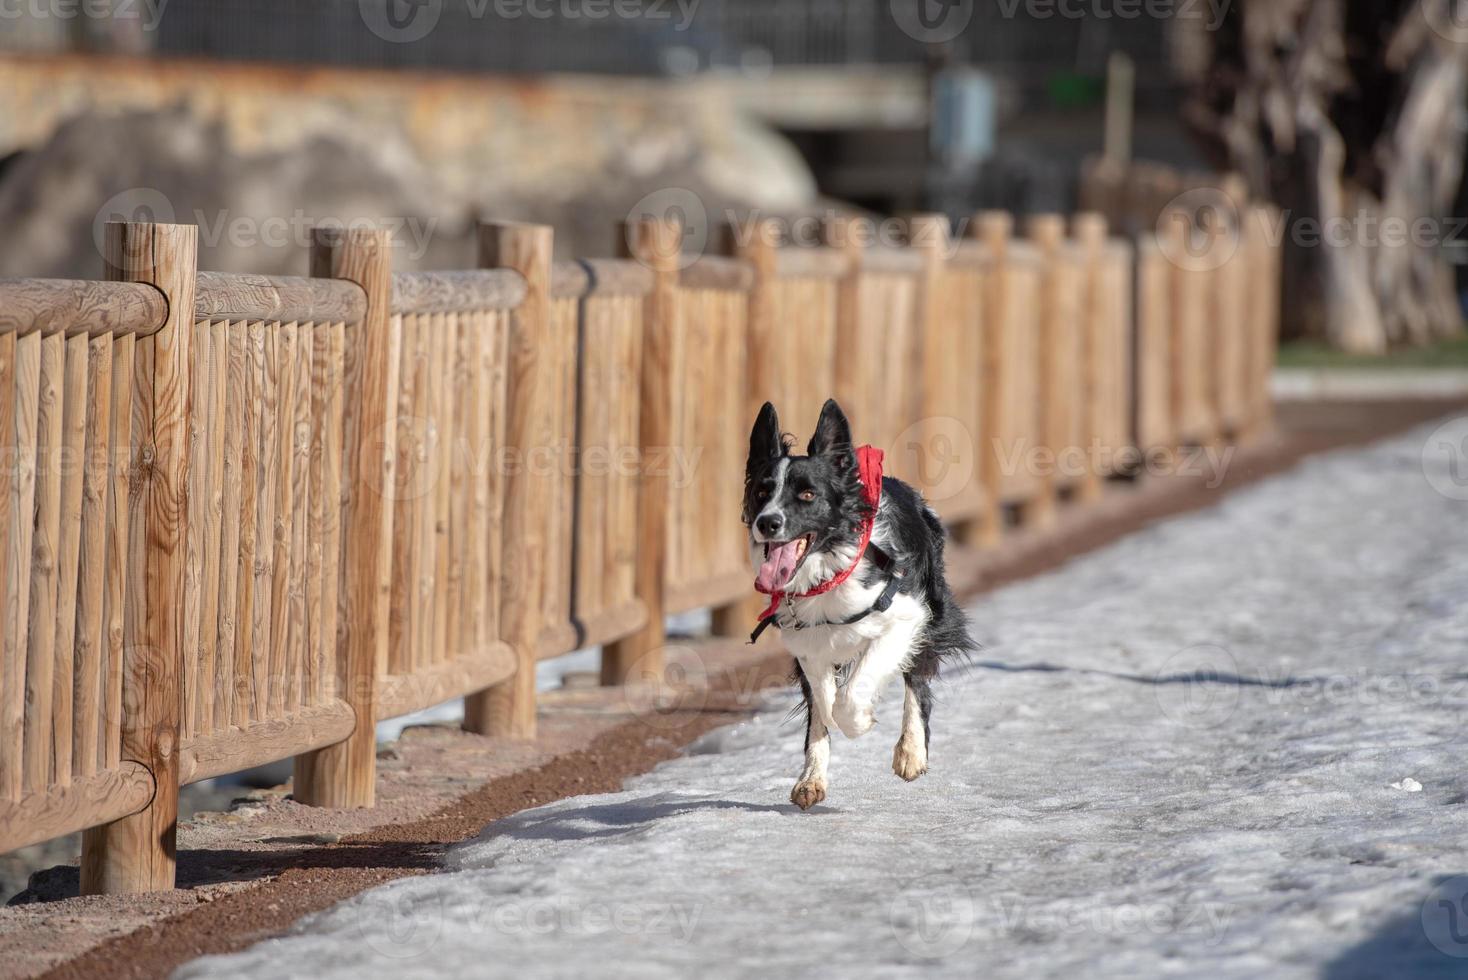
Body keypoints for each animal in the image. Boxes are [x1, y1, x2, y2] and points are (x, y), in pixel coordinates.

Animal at [745, 399, 974, 809]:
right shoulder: (805, 642)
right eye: (761, 492)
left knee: (916, 680)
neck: (827, 573)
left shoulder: (906, 616)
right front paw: (811, 778)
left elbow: (849, 699)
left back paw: (911, 752)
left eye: (808, 495)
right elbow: (822, 706)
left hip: (931, 611)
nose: (767, 523)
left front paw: (862, 721)